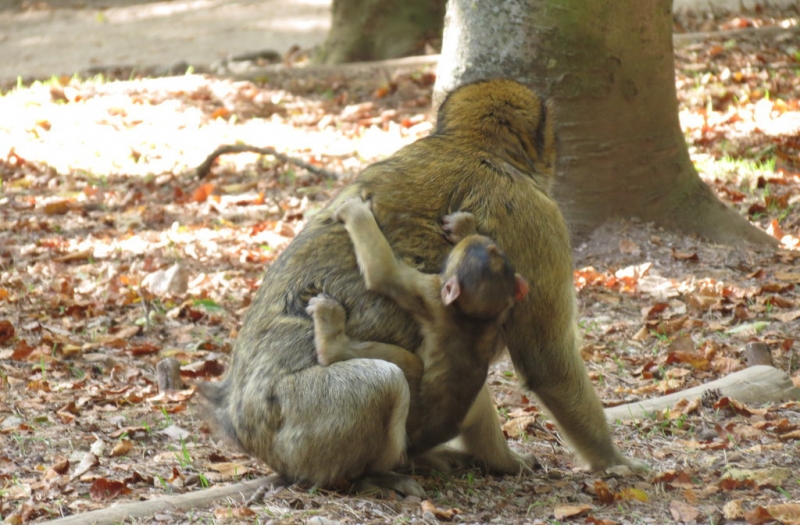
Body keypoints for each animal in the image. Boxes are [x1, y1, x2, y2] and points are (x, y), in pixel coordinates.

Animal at [304, 196, 524, 454]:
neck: (474, 318)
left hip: (410, 417)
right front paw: (466, 229)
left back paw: (331, 342)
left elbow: (383, 273)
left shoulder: (430, 293)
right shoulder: (502, 310)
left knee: (404, 364)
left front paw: (355, 213)